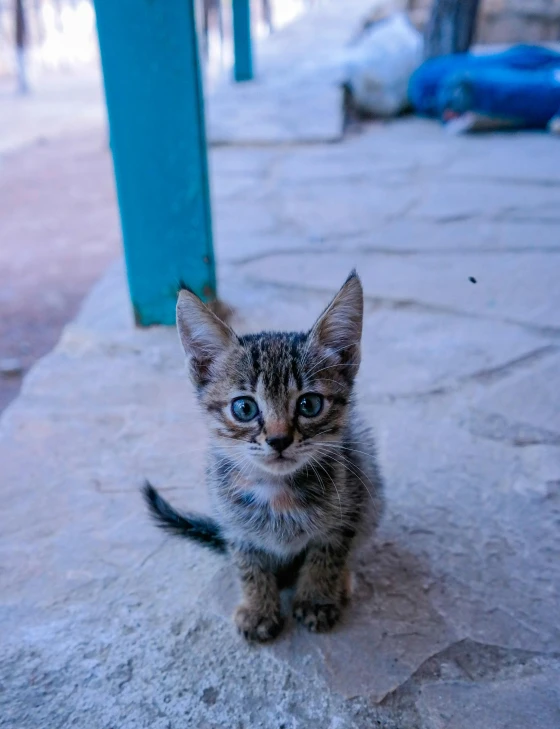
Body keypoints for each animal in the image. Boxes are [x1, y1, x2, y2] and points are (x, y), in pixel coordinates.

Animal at [143, 272, 384, 644]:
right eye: (244, 408)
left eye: (309, 404)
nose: (279, 439)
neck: (278, 490)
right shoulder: (235, 527)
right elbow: (249, 566)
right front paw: (258, 609)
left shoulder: (349, 508)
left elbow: (327, 556)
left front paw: (316, 598)